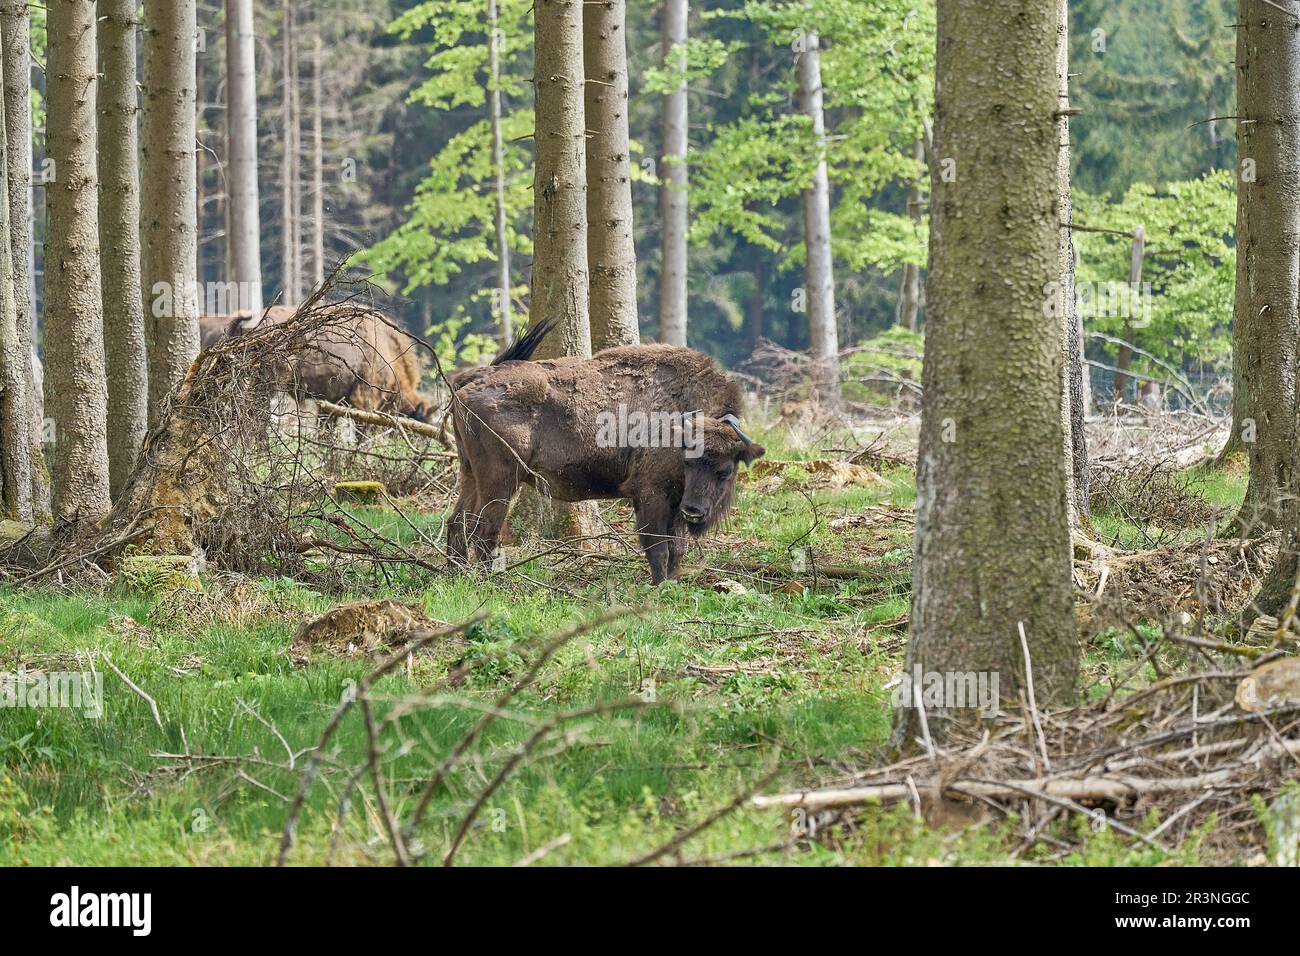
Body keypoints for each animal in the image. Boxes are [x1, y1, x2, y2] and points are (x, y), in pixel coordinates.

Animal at [452, 323, 764, 582]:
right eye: (689, 462)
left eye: (725, 471)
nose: (695, 511)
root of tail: (474, 378)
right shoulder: (651, 494)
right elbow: (658, 547)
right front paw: (659, 586)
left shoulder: (676, 503)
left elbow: (677, 548)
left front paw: (673, 582)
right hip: (501, 481)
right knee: (484, 531)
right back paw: (489, 583)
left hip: (470, 474)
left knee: (457, 523)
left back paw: (454, 575)